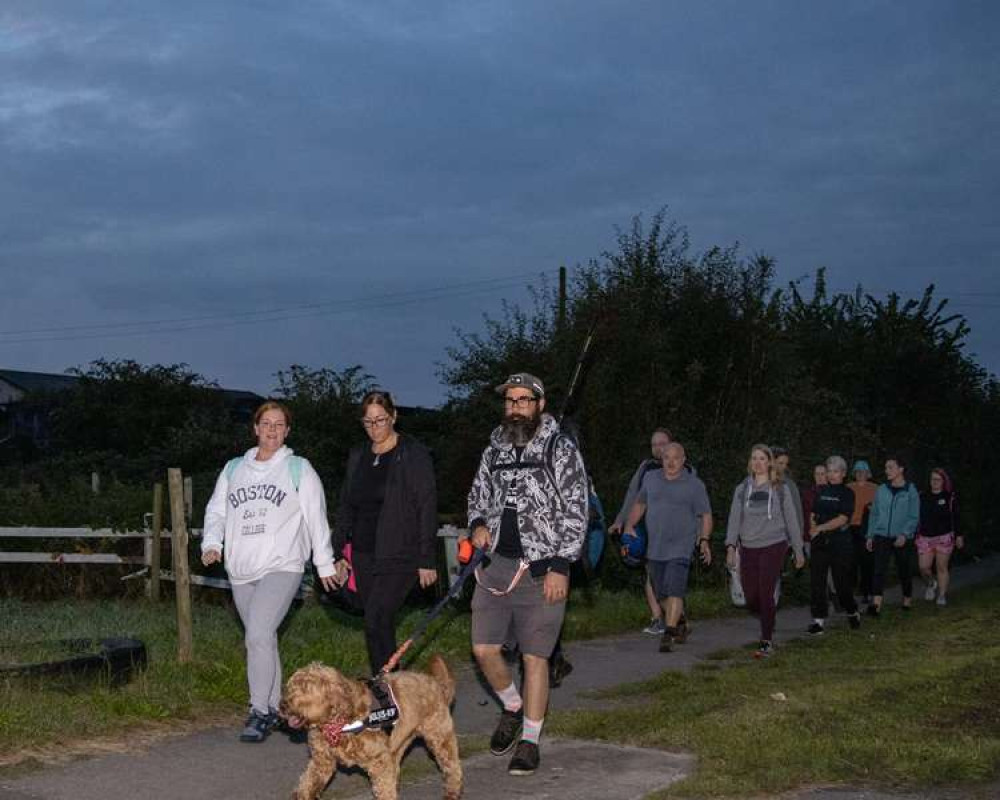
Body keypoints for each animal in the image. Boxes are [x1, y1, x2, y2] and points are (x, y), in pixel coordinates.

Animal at [280, 656, 462, 800]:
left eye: (305, 689)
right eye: (290, 687)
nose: (282, 706)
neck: (336, 721)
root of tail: (437, 684)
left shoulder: (379, 761)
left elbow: (384, 790)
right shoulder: (322, 761)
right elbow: (307, 784)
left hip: (440, 739)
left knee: (453, 769)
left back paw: (452, 793)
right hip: (397, 746)